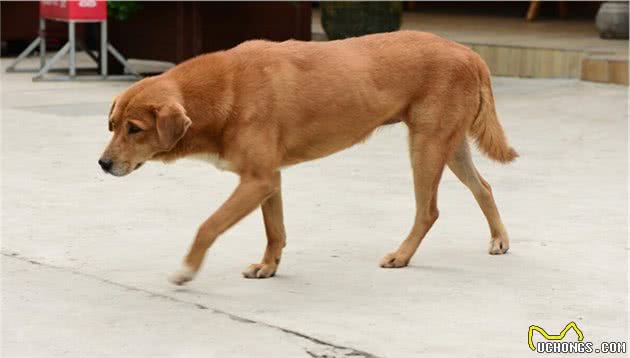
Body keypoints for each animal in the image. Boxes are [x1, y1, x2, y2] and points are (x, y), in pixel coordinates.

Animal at [100, 30, 520, 286]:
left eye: (134, 129)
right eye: (112, 125)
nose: (102, 164)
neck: (225, 92)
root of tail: (468, 52)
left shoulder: (256, 180)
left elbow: (208, 225)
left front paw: (187, 270)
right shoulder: (269, 179)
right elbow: (275, 231)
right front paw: (268, 266)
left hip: (427, 147)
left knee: (428, 211)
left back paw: (402, 255)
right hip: (450, 147)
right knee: (483, 187)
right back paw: (499, 238)